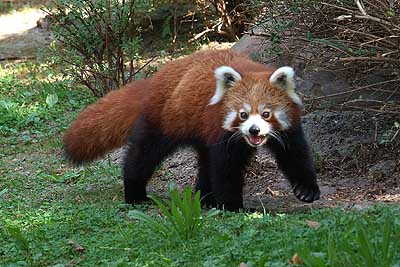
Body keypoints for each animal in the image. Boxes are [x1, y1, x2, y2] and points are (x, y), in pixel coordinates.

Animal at [65, 49, 322, 210]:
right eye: (243, 114)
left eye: (266, 114)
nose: (254, 131)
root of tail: (156, 78)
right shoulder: (221, 132)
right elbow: (225, 168)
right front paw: (233, 205)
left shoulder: (289, 129)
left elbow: (295, 156)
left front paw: (306, 190)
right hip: (163, 120)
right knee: (143, 154)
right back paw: (135, 192)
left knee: (205, 162)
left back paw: (205, 197)